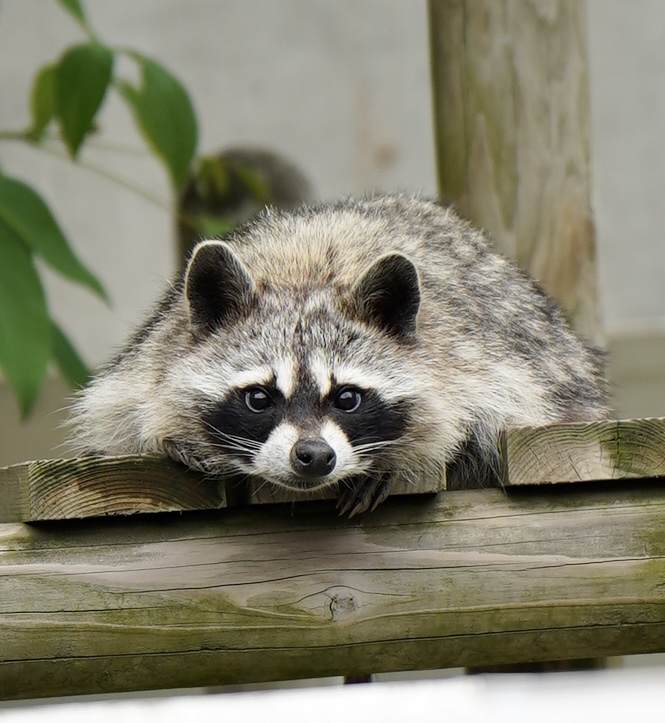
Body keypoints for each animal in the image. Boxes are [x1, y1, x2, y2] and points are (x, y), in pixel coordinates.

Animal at [70, 195, 608, 516]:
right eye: (259, 398)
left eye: (348, 397)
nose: (313, 456)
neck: (305, 274)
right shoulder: (149, 354)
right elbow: (119, 416)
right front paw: (176, 438)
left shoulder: (487, 364)